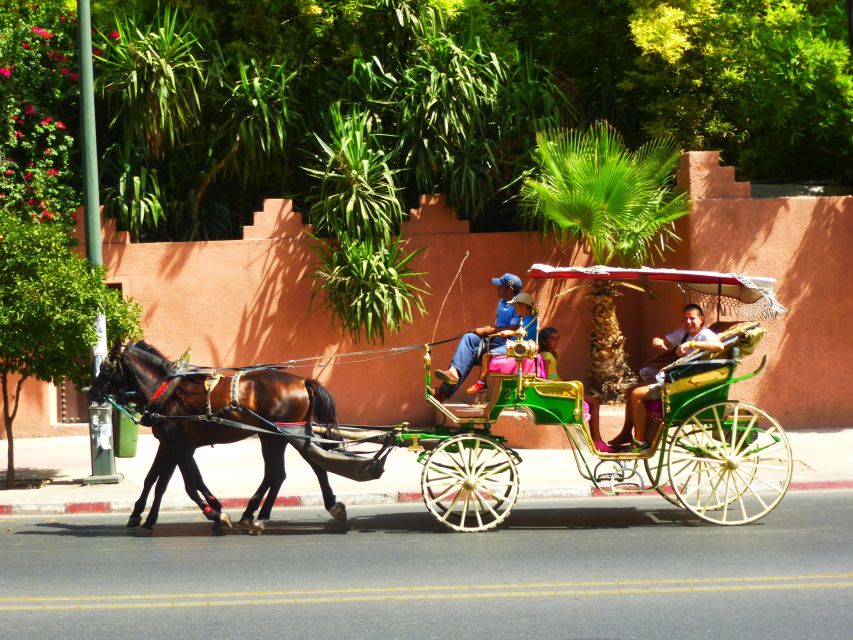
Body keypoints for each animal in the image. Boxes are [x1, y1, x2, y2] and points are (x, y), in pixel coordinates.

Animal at [91, 342, 344, 532]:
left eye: (105, 367)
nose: (93, 392)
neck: (168, 392)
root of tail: (303, 382)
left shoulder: (180, 447)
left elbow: (189, 484)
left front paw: (215, 513)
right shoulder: (170, 445)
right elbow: (156, 480)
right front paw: (142, 516)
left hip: (276, 438)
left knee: (278, 474)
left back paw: (260, 517)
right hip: (287, 435)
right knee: (311, 467)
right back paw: (327, 505)